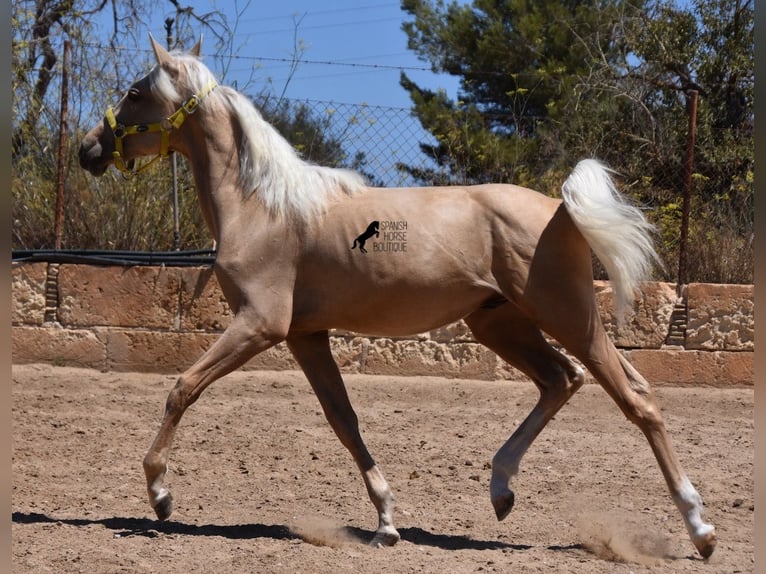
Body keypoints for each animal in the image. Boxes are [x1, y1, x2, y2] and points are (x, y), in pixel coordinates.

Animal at [79, 37, 720, 564]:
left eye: (136, 92)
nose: (88, 149)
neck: (264, 207)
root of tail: (562, 209)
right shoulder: (304, 335)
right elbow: (344, 420)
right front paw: (387, 522)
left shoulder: (260, 325)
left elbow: (182, 387)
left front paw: (160, 494)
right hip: (502, 326)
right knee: (560, 381)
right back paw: (501, 491)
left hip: (569, 318)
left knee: (637, 399)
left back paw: (702, 530)